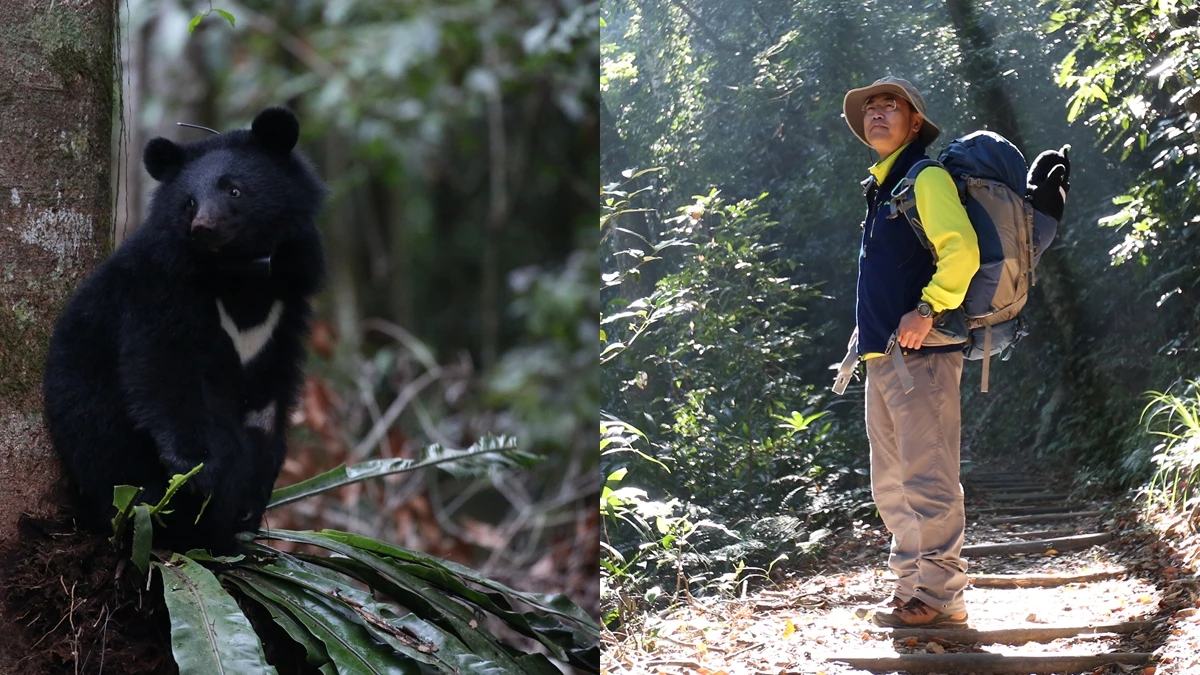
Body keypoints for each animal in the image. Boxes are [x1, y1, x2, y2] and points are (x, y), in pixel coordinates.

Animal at [43, 107, 326, 552]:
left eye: (234, 190)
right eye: (189, 201)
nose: (203, 227)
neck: (240, 275)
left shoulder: (287, 306)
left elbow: (269, 402)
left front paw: (256, 493)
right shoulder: (160, 288)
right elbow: (163, 369)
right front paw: (198, 472)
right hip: (118, 466)